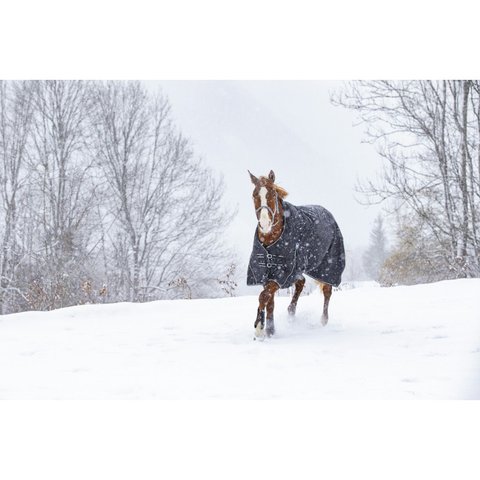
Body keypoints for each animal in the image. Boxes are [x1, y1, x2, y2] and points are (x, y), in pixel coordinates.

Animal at [248, 169, 344, 338]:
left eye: (272, 194)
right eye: (254, 195)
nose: (265, 224)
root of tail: (328, 213)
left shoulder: (283, 273)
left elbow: (264, 296)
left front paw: (259, 327)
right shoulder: (267, 271)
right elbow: (269, 300)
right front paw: (270, 330)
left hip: (327, 267)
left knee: (327, 291)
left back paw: (323, 321)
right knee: (301, 283)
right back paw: (291, 314)